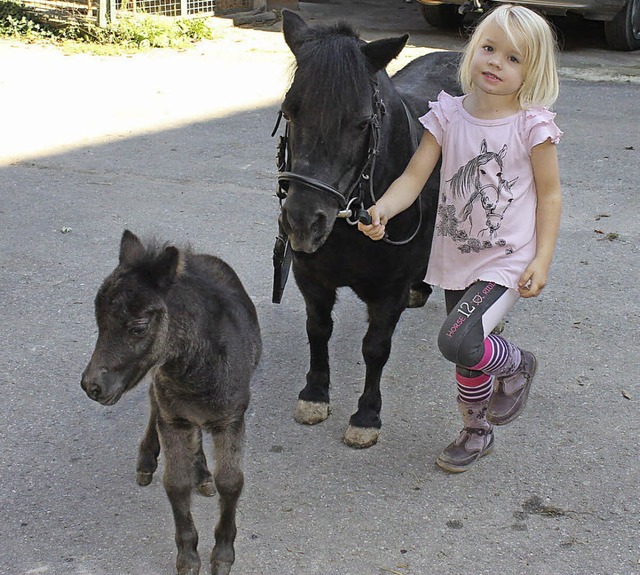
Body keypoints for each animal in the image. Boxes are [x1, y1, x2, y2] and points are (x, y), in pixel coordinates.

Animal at [81, 231, 262, 575]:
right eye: (98, 322)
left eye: (138, 327)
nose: (91, 386)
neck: (197, 371)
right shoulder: (173, 418)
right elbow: (176, 484)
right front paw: (189, 557)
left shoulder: (232, 418)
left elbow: (232, 482)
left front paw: (222, 554)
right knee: (154, 402)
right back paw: (149, 461)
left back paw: (202, 474)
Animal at [274, 11, 460, 448]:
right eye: (289, 112)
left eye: (361, 123)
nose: (303, 221)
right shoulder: (311, 277)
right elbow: (318, 329)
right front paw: (314, 394)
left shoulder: (387, 291)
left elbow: (375, 347)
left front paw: (366, 416)